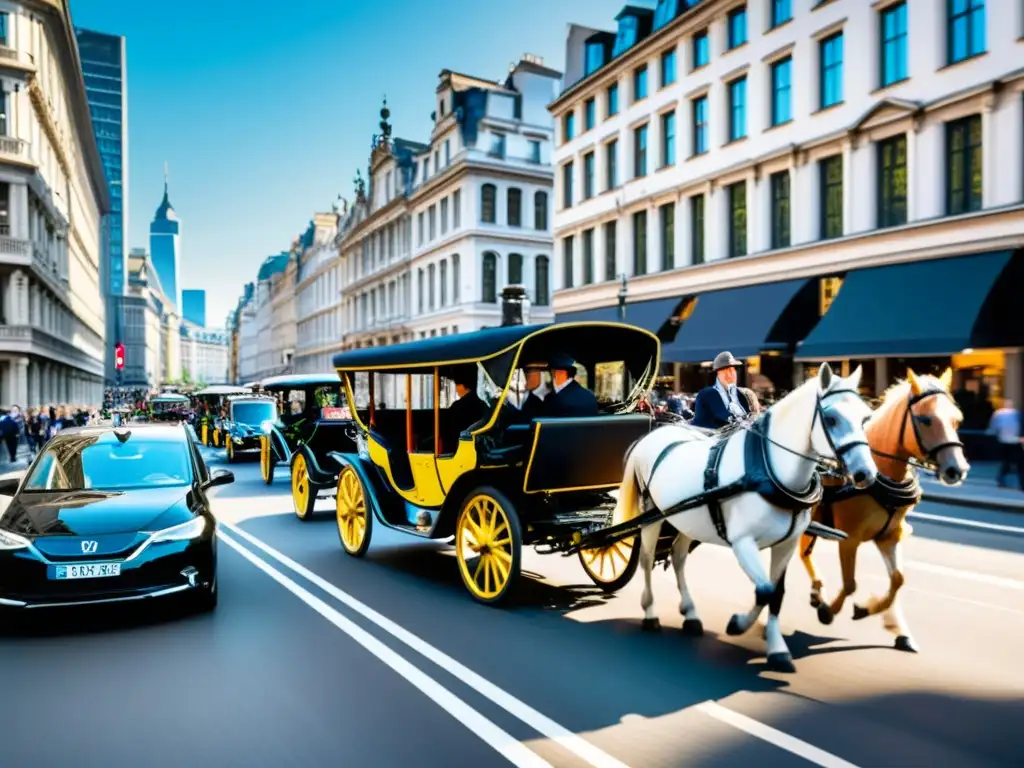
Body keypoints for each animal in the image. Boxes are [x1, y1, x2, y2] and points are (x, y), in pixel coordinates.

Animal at [610, 364, 876, 671]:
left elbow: (777, 595)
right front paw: (738, 624)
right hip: (652, 517)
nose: (866, 474)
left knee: (678, 558)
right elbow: (764, 590)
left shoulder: (786, 544)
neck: (768, 469)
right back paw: (650, 613)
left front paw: (777, 649)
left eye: (865, 417)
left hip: (687, 520)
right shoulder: (743, 543)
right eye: (831, 419)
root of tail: (650, 437)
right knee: (645, 558)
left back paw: (690, 614)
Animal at [798, 370, 966, 651]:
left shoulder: (889, 535)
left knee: (803, 554)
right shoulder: (849, 539)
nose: (958, 469)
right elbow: (850, 583)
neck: (880, 473)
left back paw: (816, 590)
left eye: (957, 419)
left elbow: (898, 579)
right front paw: (830, 611)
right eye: (925, 419)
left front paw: (881, 618)